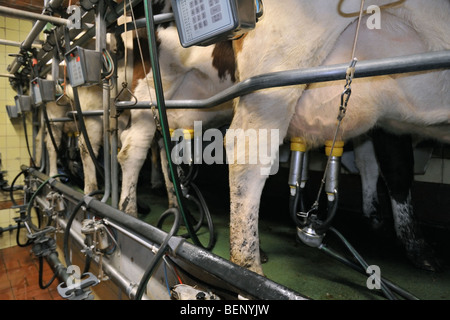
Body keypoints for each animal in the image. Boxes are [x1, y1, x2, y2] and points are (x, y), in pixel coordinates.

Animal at [229, 0, 450, 276]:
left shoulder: (388, 121)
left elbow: (385, 169)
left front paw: (413, 246)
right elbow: (399, 171)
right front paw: (419, 249)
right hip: (274, 73)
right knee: (247, 158)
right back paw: (248, 268)